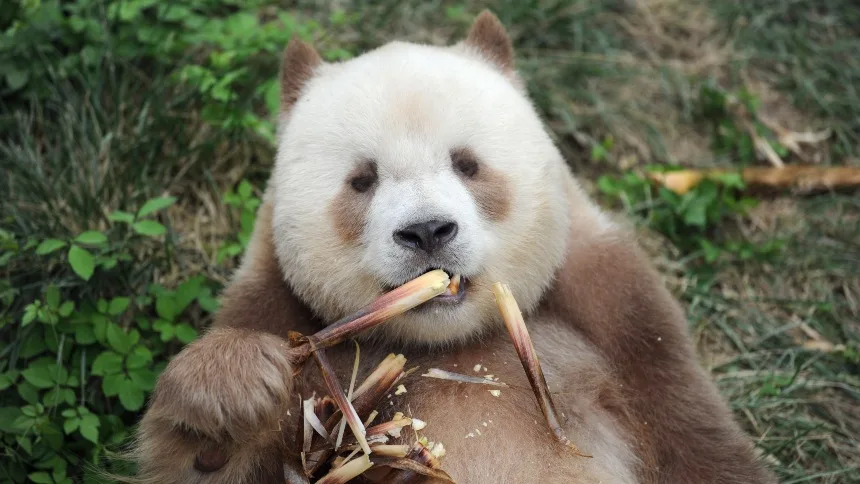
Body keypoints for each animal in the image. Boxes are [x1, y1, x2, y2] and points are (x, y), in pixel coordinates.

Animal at [130, 10, 777, 484]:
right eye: (362, 180)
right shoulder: (277, 305)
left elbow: (694, 440)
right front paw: (229, 395)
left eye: (467, 164)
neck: (452, 342)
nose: (427, 233)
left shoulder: (620, 318)